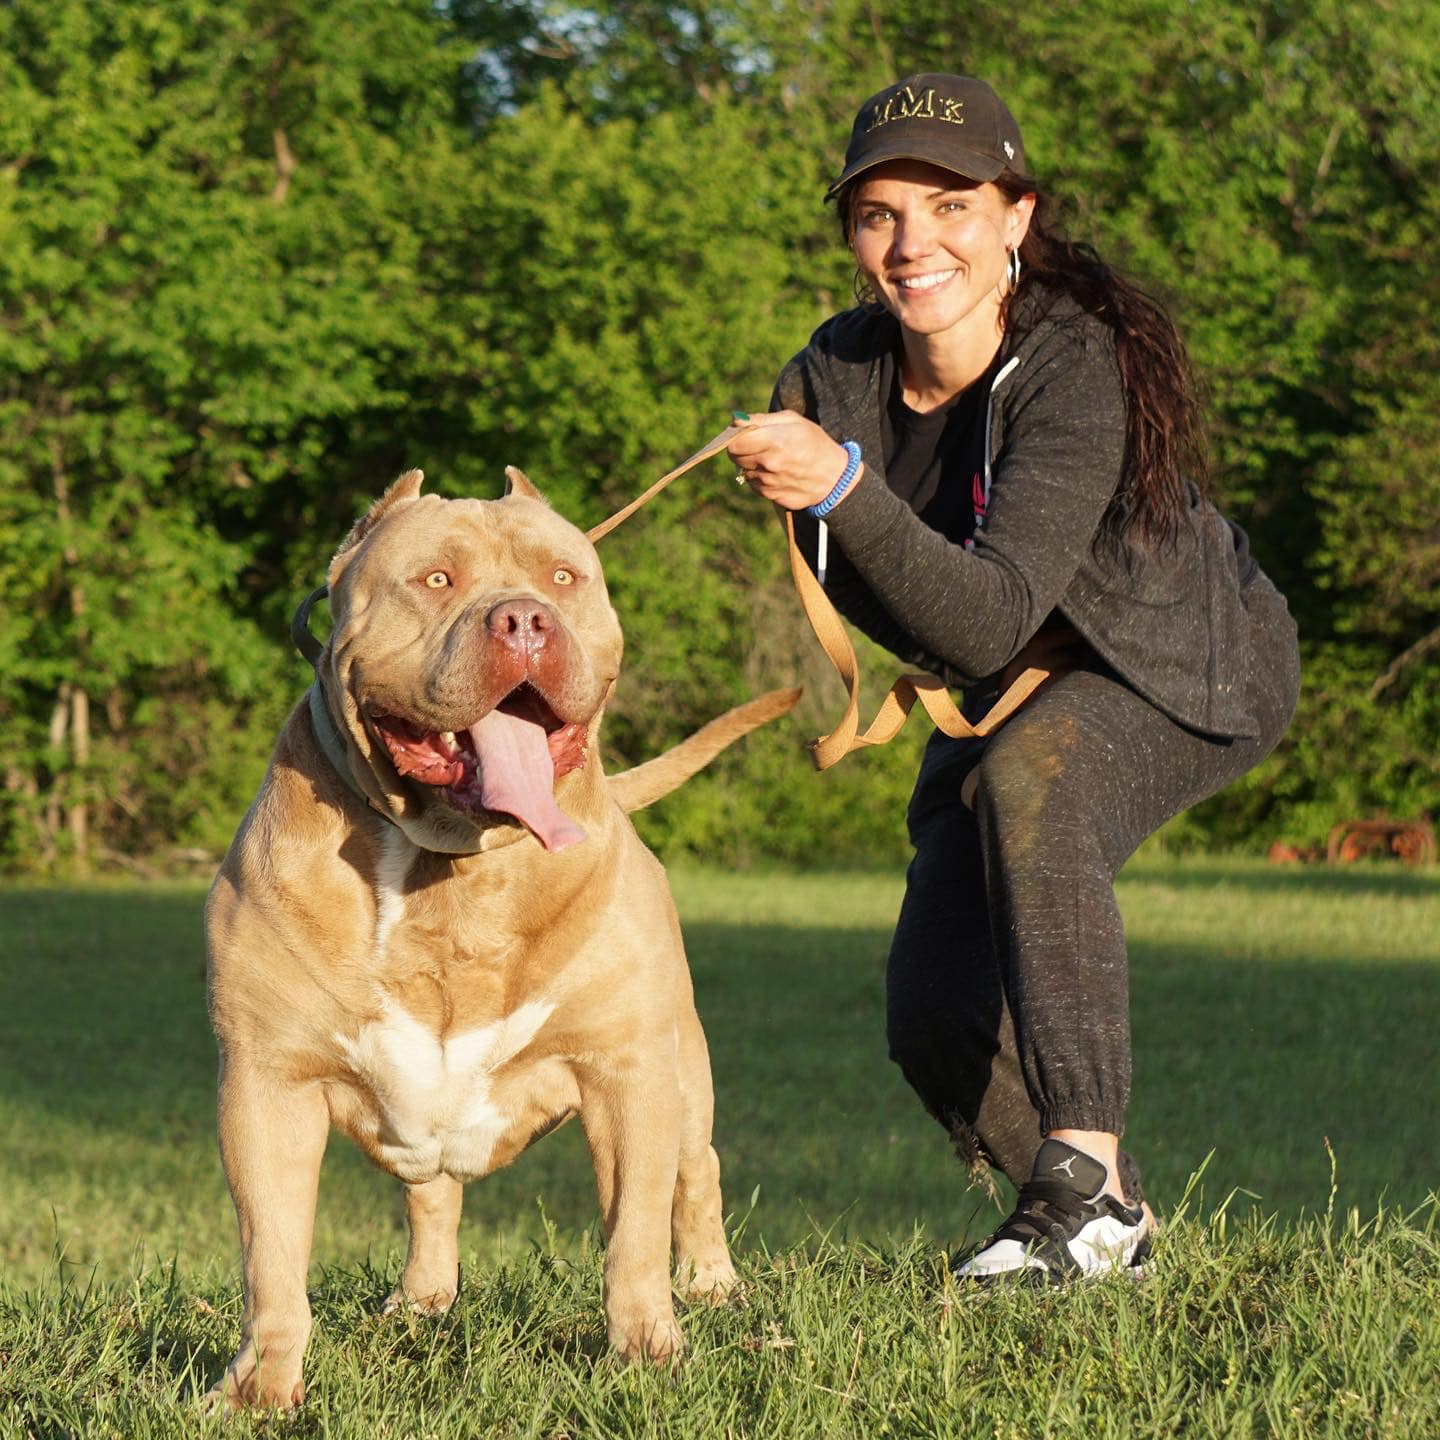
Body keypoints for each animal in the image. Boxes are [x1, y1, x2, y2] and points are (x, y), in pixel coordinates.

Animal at [205, 469, 800, 1405]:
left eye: (564, 577)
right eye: (435, 579)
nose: (524, 619)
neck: (453, 866)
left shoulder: (628, 1075)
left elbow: (634, 1235)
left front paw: (648, 1353)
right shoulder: (268, 1086)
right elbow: (271, 1259)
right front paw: (261, 1389)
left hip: (684, 1069)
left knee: (695, 1173)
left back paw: (712, 1285)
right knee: (432, 1196)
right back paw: (422, 1301)